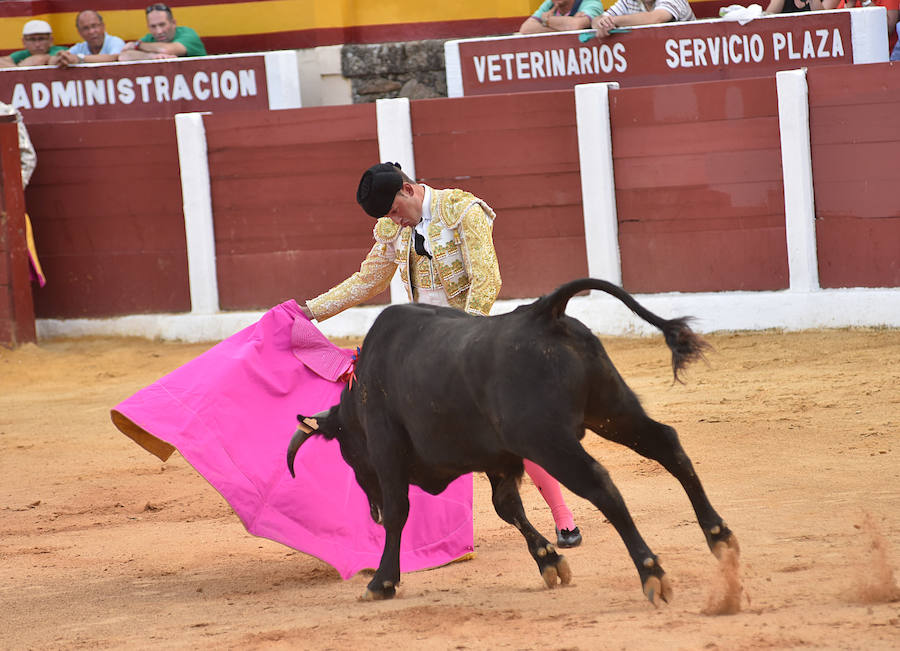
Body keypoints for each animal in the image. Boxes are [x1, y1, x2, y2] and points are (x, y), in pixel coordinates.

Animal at [288, 278, 740, 604]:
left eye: (349, 456)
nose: (373, 514)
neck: (359, 393)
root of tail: (544, 313)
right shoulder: (500, 458)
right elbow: (508, 507)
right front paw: (549, 562)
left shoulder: (388, 452)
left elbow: (402, 510)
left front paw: (382, 582)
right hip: (612, 410)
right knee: (667, 445)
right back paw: (720, 539)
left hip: (549, 440)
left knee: (601, 484)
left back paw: (652, 572)